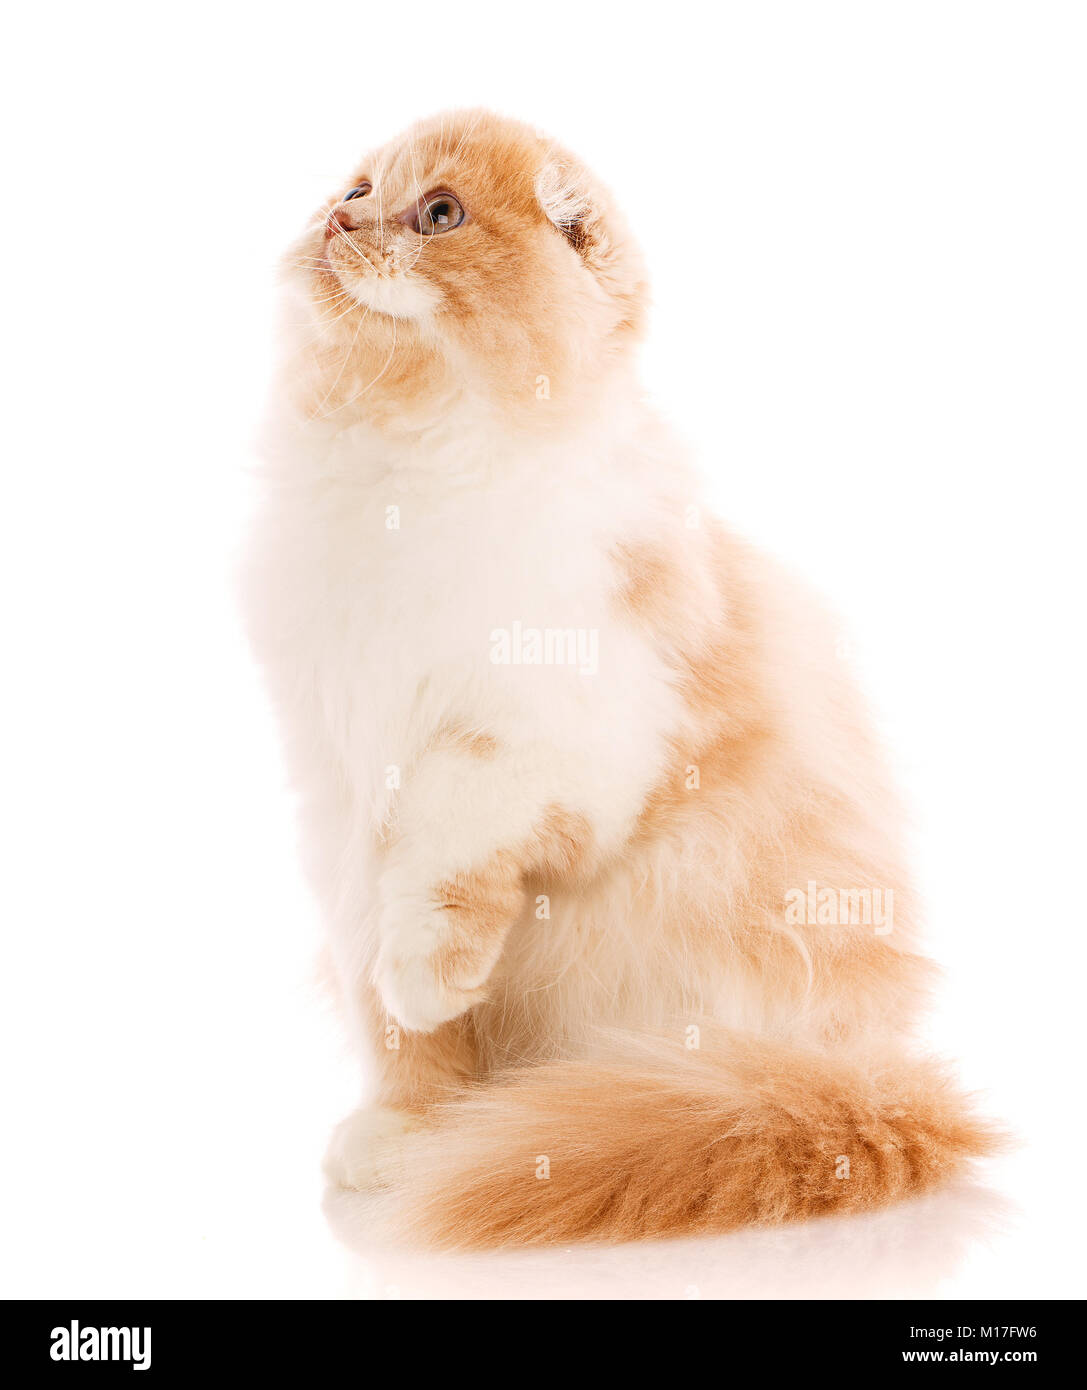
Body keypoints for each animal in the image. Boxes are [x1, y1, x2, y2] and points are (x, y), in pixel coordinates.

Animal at [243, 111, 1000, 1251]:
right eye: (357, 188)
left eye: (439, 214)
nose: (336, 219)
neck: (398, 468)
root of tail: (866, 1077)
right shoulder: (341, 794)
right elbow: (396, 1026)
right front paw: (407, 1130)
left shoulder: (561, 736)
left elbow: (440, 852)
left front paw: (429, 980)